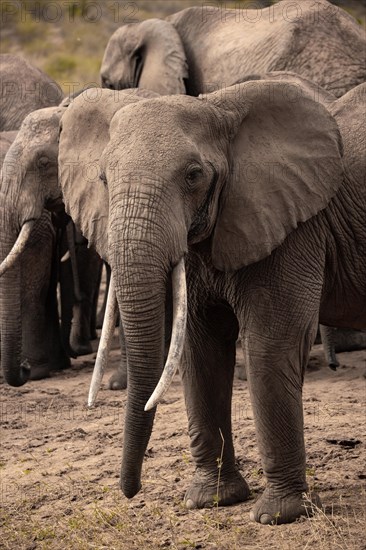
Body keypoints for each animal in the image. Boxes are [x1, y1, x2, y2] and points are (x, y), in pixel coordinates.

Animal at [54, 75, 366, 528]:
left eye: (193, 175)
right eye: (103, 179)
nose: (130, 491)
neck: (220, 110)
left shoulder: (295, 226)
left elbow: (271, 345)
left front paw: (279, 515)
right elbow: (201, 349)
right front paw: (210, 501)